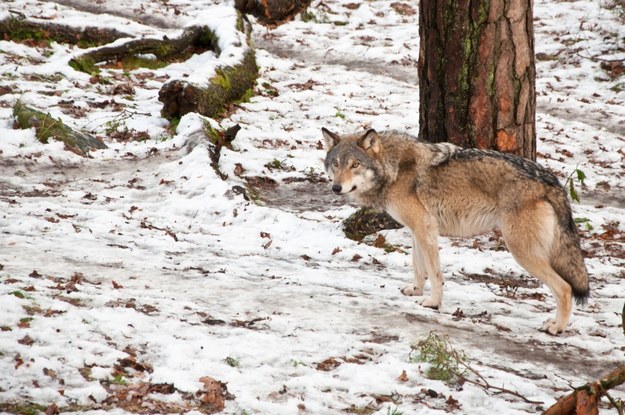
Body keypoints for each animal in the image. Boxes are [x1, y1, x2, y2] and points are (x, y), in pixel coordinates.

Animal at [322, 128, 588, 336]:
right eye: (336, 164)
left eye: (355, 165)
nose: (336, 188)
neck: (393, 169)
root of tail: (552, 181)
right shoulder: (416, 230)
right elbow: (418, 266)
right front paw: (415, 290)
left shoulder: (425, 228)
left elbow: (434, 273)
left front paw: (433, 302)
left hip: (521, 251)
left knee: (565, 288)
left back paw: (556, 328)